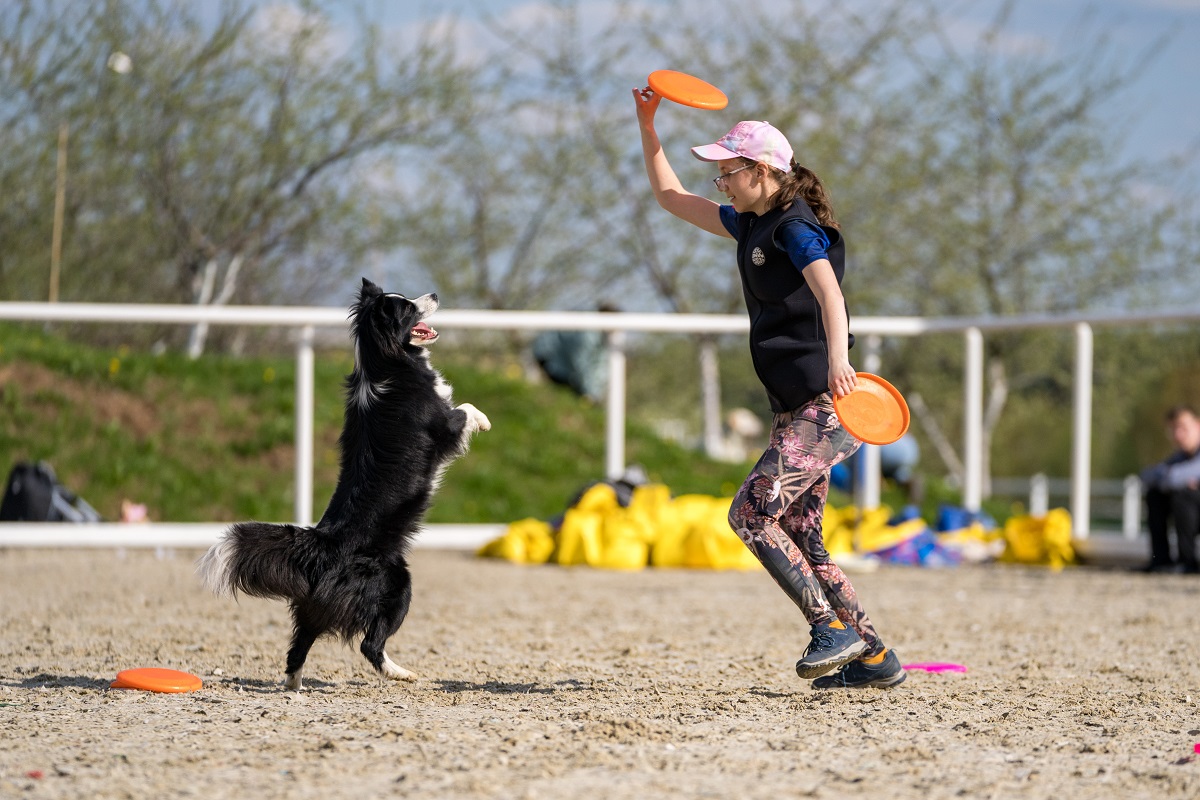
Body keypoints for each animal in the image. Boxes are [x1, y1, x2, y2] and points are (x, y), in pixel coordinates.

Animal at [199, 280, 489, 690]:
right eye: (406, 308)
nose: (434, 294)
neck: (384, 360)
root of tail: (322, 545)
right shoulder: (443, 424)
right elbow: (464, 409)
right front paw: (485, 421)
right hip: (396, 584)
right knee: (370, 644)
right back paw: (402, 674)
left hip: (316, 608)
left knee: (299, 645)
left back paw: (294, 685)